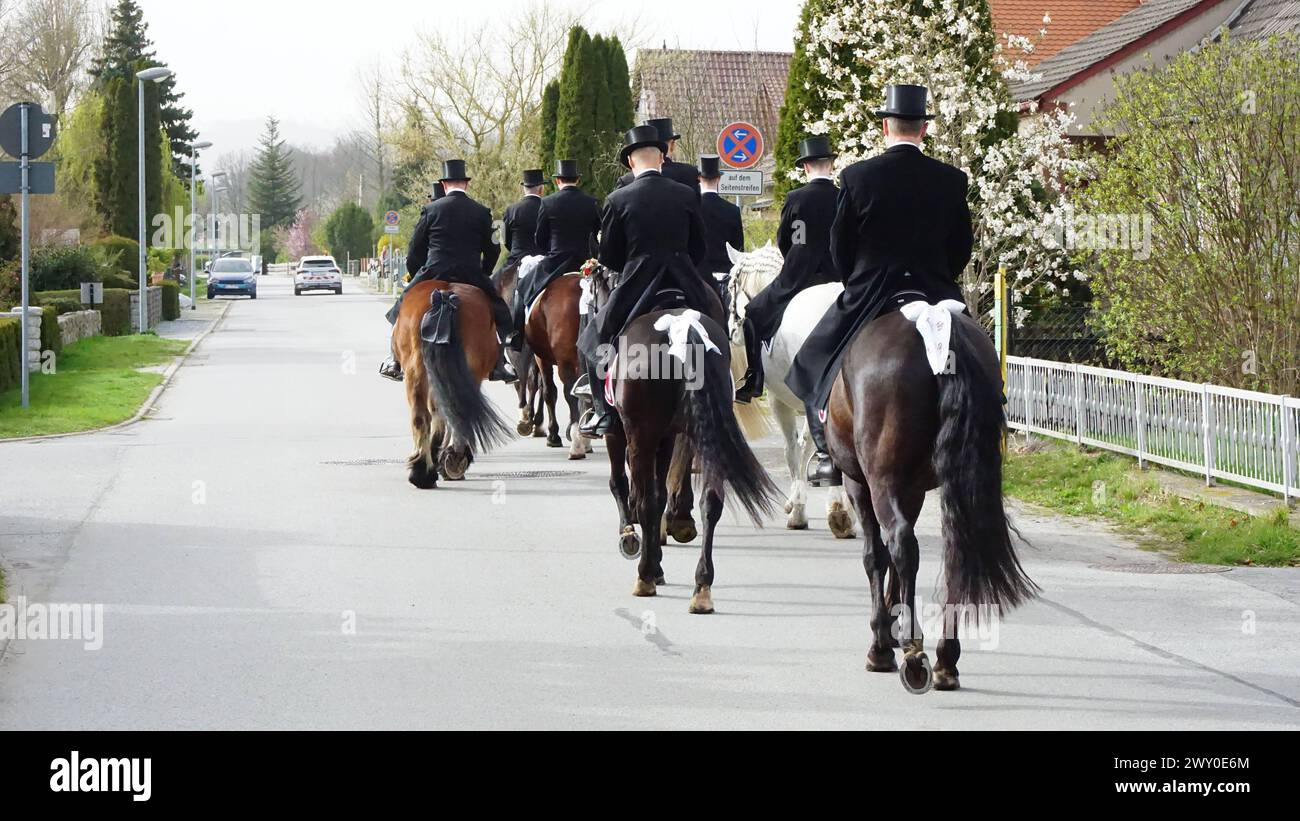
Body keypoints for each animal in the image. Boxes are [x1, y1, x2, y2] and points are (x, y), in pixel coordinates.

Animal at [395, 279, 512, 491]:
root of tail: (444, 298)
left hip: (416, 370)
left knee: (425, 415)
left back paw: (424, 471)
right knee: (451, 413)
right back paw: (449, 461)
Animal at [522, 272, 595, 459]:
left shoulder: (541, 358)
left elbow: (547, 390)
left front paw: (552, 434)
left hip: (565, 362)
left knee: (568, 393)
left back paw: (577, 443)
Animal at [728, 241, 857, 537]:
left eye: (730, 286)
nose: (731, 331)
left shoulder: (780, 401)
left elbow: (793, 448)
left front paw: (798, 509)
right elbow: (806, 446)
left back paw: (839, 512)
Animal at [832, 307, 1034, 691]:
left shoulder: (860, 484)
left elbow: (876, 555)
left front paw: (883, 641)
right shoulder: (911, 489)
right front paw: (893, 623)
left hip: (879, 480)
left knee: (901, 544)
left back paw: (911, 653)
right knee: (956, 550)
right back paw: (945, 660)